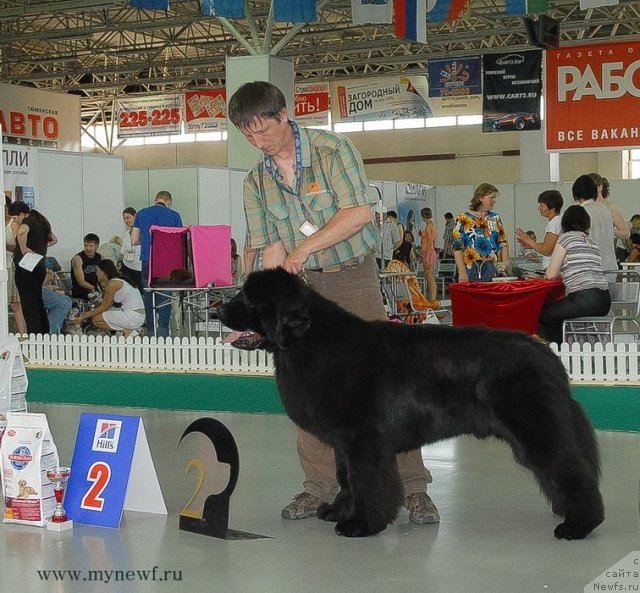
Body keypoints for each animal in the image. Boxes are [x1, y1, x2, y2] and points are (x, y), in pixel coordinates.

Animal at [218, 268, 604, 540]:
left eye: (248, 299)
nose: (217, 307)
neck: (311, 341)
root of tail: (545, 354)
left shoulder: (364, 441)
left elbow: (368, 481)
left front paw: (362, 524)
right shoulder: (345, 442)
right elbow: (346, 478)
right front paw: (339, 512)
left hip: (535, 427)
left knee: (569, 468)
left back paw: (579, 525)